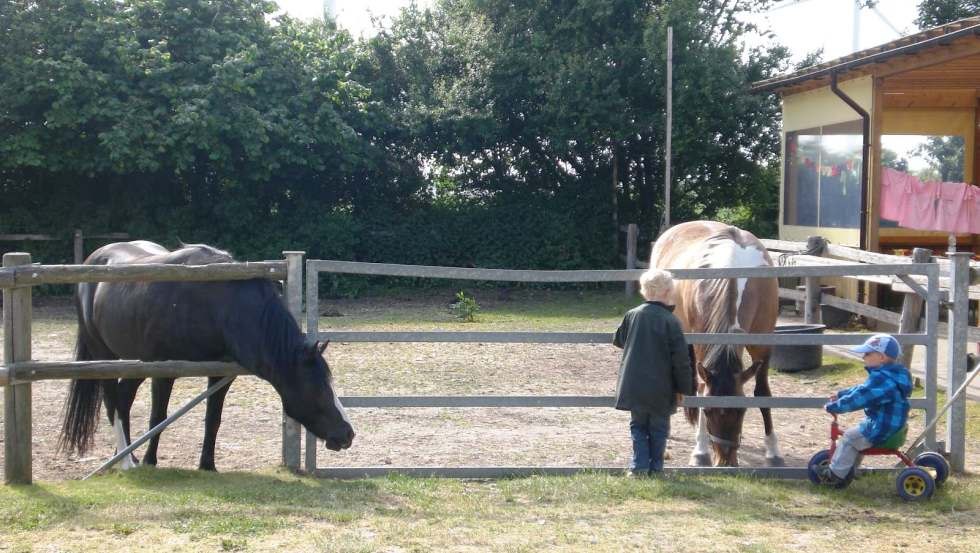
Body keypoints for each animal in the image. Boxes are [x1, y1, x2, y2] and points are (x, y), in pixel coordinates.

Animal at [58, 242, 356, 470]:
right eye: (319, 390)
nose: (347, 434)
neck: (220, 306)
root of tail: (97, 256)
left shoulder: (220, 372)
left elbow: (213, 419)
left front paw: (207, 466)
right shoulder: (163, 371)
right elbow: (158, 417)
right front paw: (151, 461)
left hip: (137, 364)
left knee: (123, 399)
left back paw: (126, 454)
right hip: (104, 357)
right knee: (112, 403)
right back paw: (127, 462)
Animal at [652, 220, 780, 466]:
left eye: (741, 411)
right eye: (709, 411)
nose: (725, 461)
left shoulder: (764, 347)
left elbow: (763, 393)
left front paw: (773, 452)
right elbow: (702, 390)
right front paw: (700, 452)